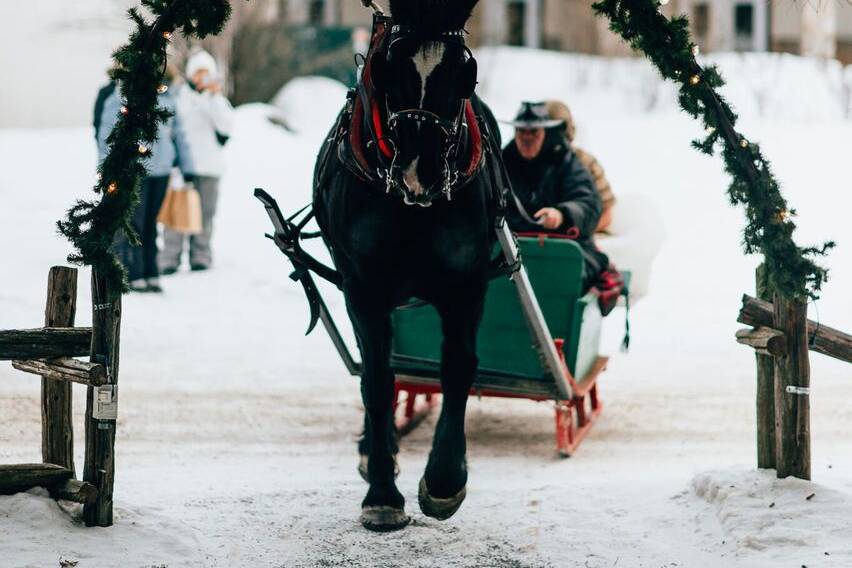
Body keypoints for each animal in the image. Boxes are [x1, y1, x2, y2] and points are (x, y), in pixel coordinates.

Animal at [312, 1, 502, 532]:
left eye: (464, 71)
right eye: (388, 66)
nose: (422, 169)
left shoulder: (467, 283)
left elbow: (458, 368)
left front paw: (444, 481)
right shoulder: (362, 288)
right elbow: (377, 380)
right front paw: (381, 493)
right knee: (376, 365)